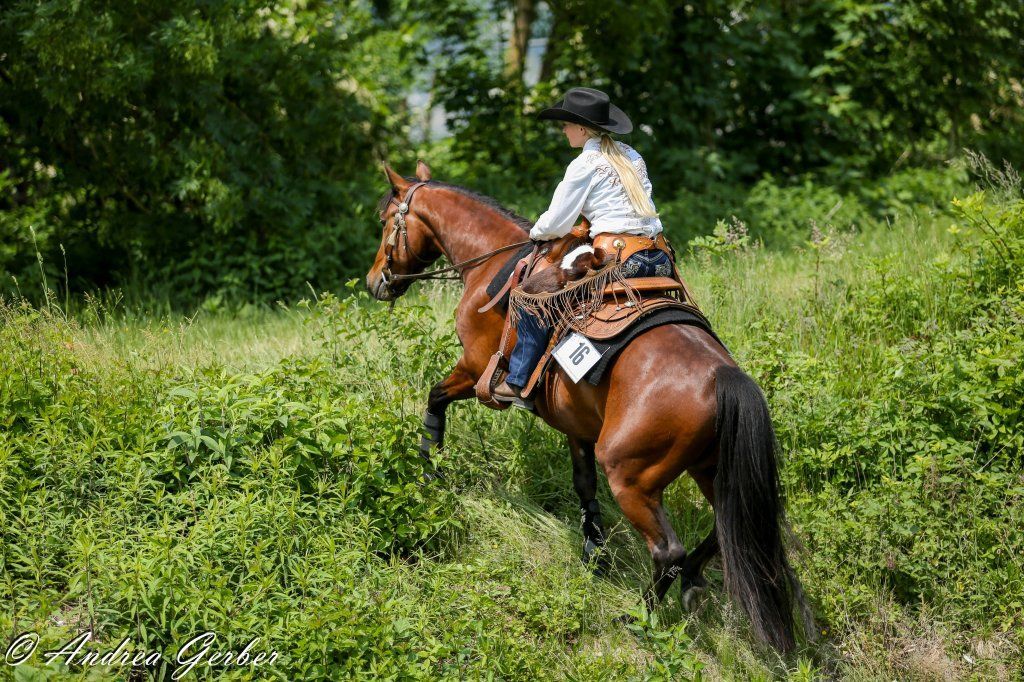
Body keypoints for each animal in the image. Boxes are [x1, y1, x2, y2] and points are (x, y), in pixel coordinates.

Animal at [365, 160, 808, 653]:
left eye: (386, 222)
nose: (375, 281)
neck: (491, 265)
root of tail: (723, 377)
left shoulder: (475, 368)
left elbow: (435, 397)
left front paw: (428, 464)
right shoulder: (576, 423)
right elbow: (583, 484)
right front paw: (594, 550)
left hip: (631, 476)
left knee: (667, 552)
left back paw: (638, 617)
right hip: (711, 469)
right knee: (721, 532)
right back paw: (692, 582)